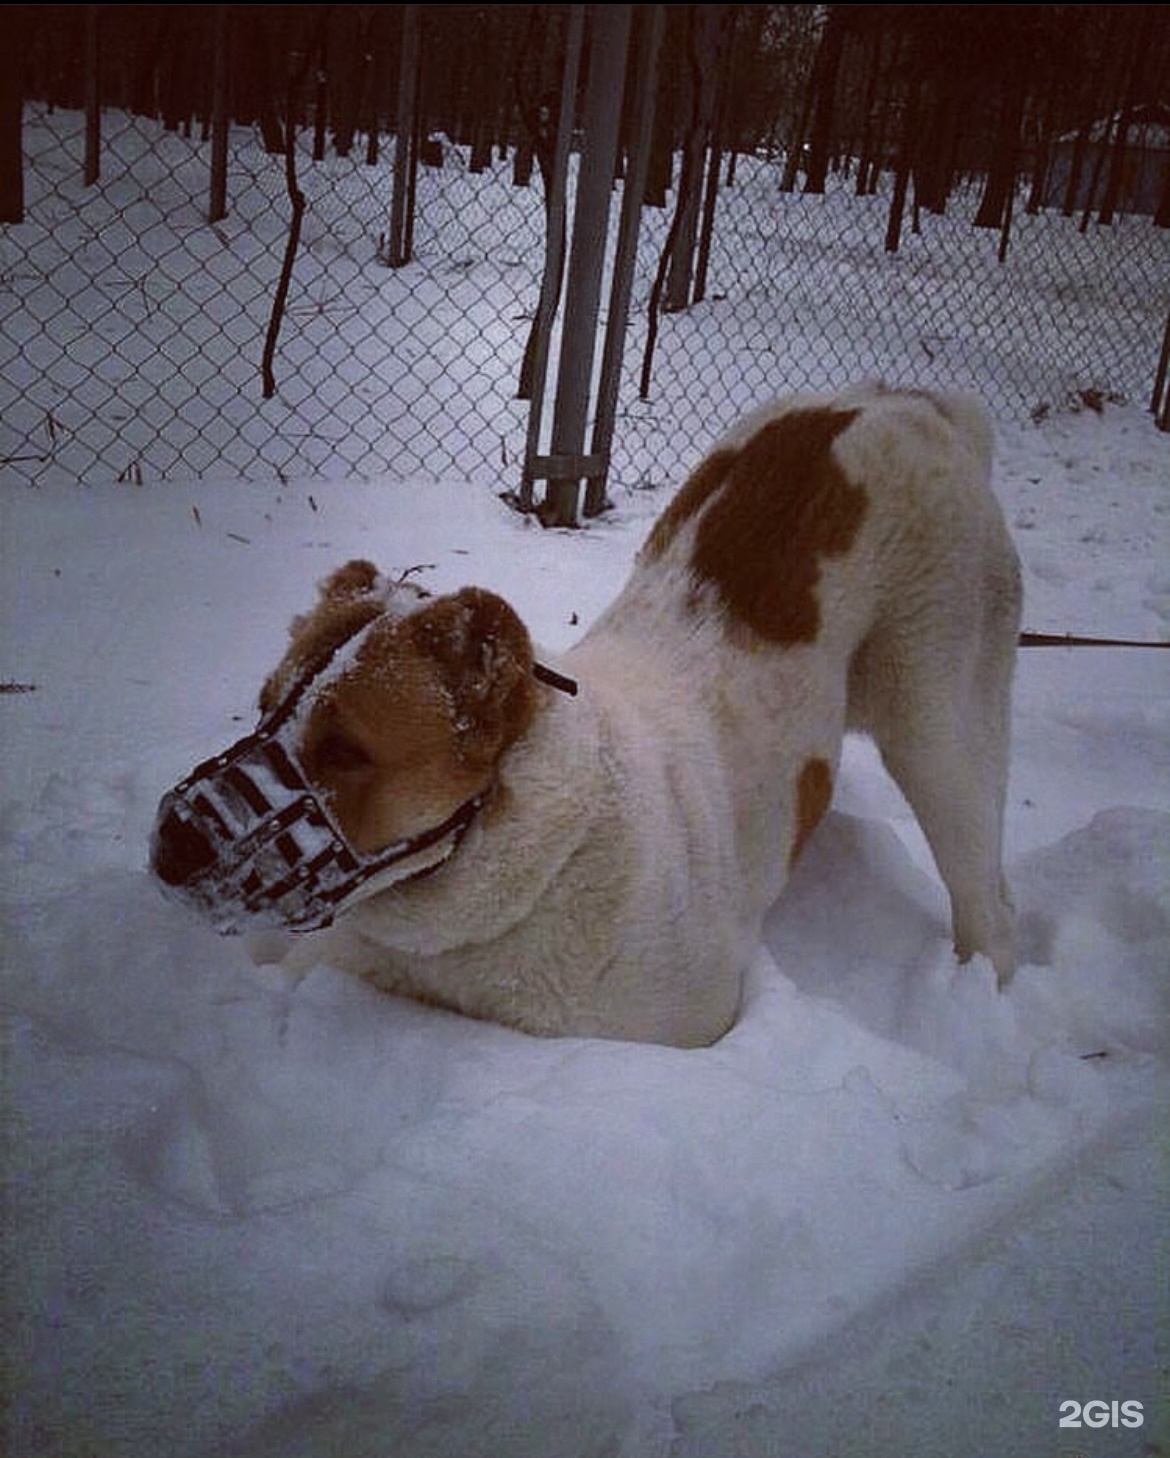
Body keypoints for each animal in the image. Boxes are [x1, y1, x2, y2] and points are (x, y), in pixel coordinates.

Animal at [150, 387, 1015, 1049]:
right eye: (265, 707)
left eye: (345, 750)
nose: (172, 840)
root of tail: (910, 402)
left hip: (941, 727)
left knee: (985, 892)